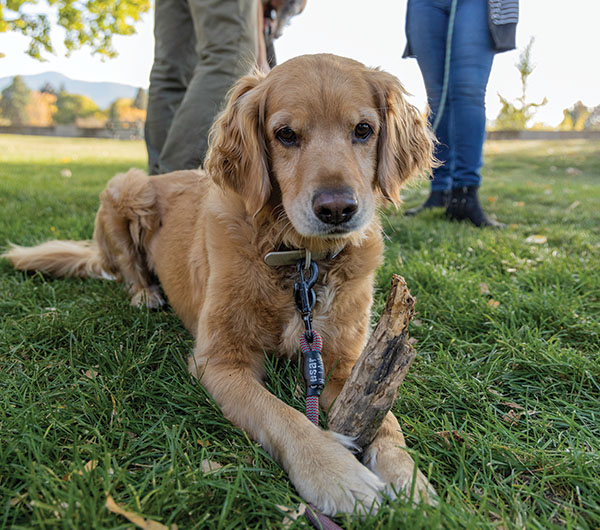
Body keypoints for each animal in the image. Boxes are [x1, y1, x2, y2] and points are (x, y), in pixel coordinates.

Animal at [3, 54, 436, 516]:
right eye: (285, 134)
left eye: (363, 130)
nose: (337, 209)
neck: (299, 260)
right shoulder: (220, 360)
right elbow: (284, 416)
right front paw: (336, 473)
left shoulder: (348, 363)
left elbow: (387, 423)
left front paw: (409, 479)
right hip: (125, 187)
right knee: (128, 269)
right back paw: (145, 293)